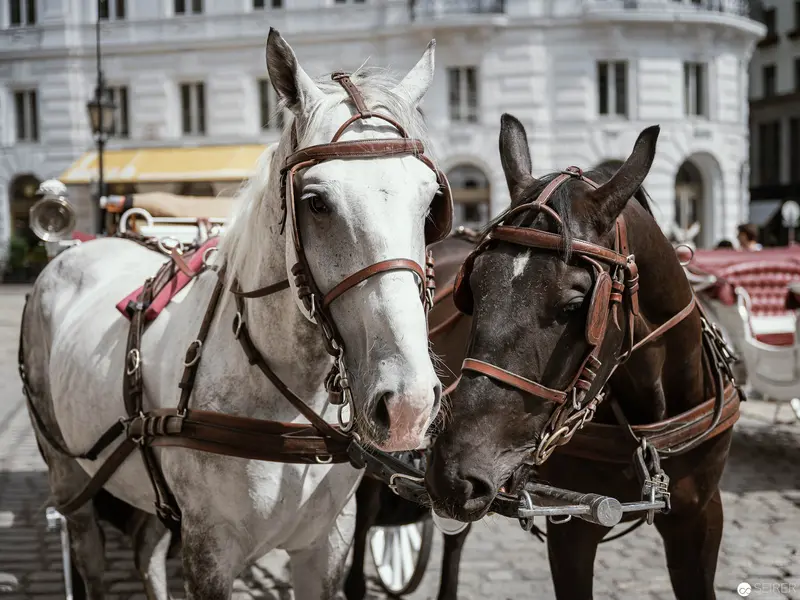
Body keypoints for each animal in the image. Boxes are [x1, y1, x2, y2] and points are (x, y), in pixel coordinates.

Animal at [20, 29, 452, 599]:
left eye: (431, 206)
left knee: (146, 549)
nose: (408, 404)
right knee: (88, 550)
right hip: (68, 474)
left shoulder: (326, 545)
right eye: (316, 203)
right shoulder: (210, 551)